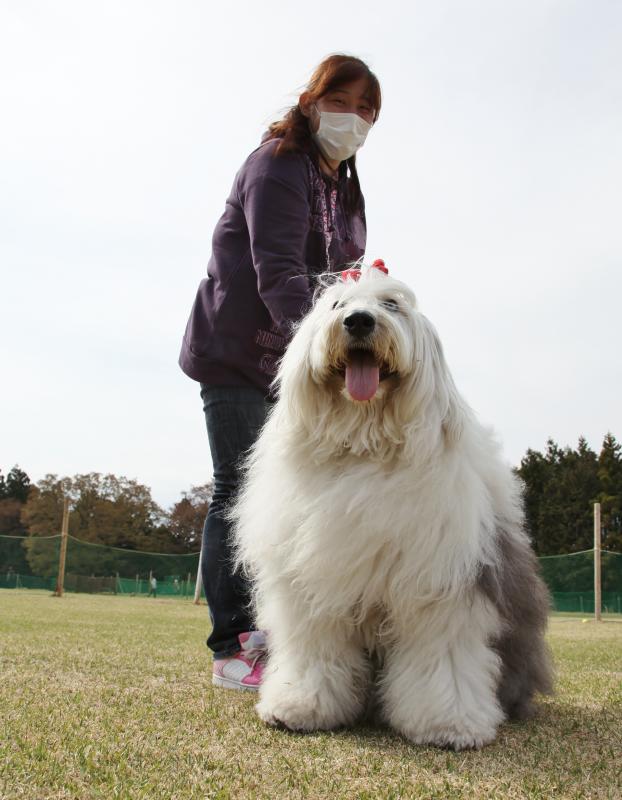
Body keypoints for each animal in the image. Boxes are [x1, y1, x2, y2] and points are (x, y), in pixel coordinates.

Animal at [232, 263, 553, 750]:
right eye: (337, 305)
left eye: (391, 305)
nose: (359, 321)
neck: (366, 444)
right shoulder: (315, 589)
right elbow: (315, 652)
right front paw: (300, 707)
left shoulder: (440, 587)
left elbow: (442, 658)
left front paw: (448, 725)